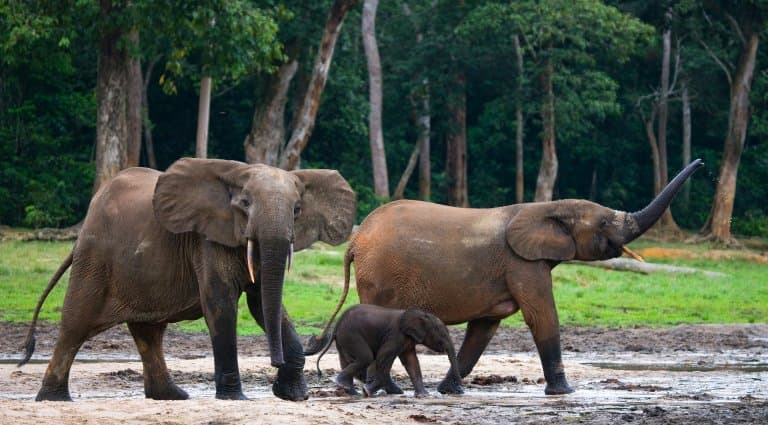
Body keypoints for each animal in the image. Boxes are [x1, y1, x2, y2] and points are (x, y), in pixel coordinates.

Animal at [17, 157, 356, 402]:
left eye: (297, 210)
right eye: (245, 204)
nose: (274, 363)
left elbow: (263, 304)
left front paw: (294, 396)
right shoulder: (207, 240)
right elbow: (221, 304)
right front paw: (235, 398)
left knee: (148, 333)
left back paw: (172, 396)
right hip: (95, 258)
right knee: (75, 324)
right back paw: (53, 399)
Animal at [304, 304, 463, 397]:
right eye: (442, 334)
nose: (460, 389)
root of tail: (337, 325)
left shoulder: (407, 340)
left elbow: (412, 362)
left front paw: (424, 396)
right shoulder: (395, 335)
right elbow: (383, 357)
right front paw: (367, 391)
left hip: (344, 339)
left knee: (347, 360)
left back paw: (351, 391)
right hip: (351, 334)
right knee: (366, 357)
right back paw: (346, 386)